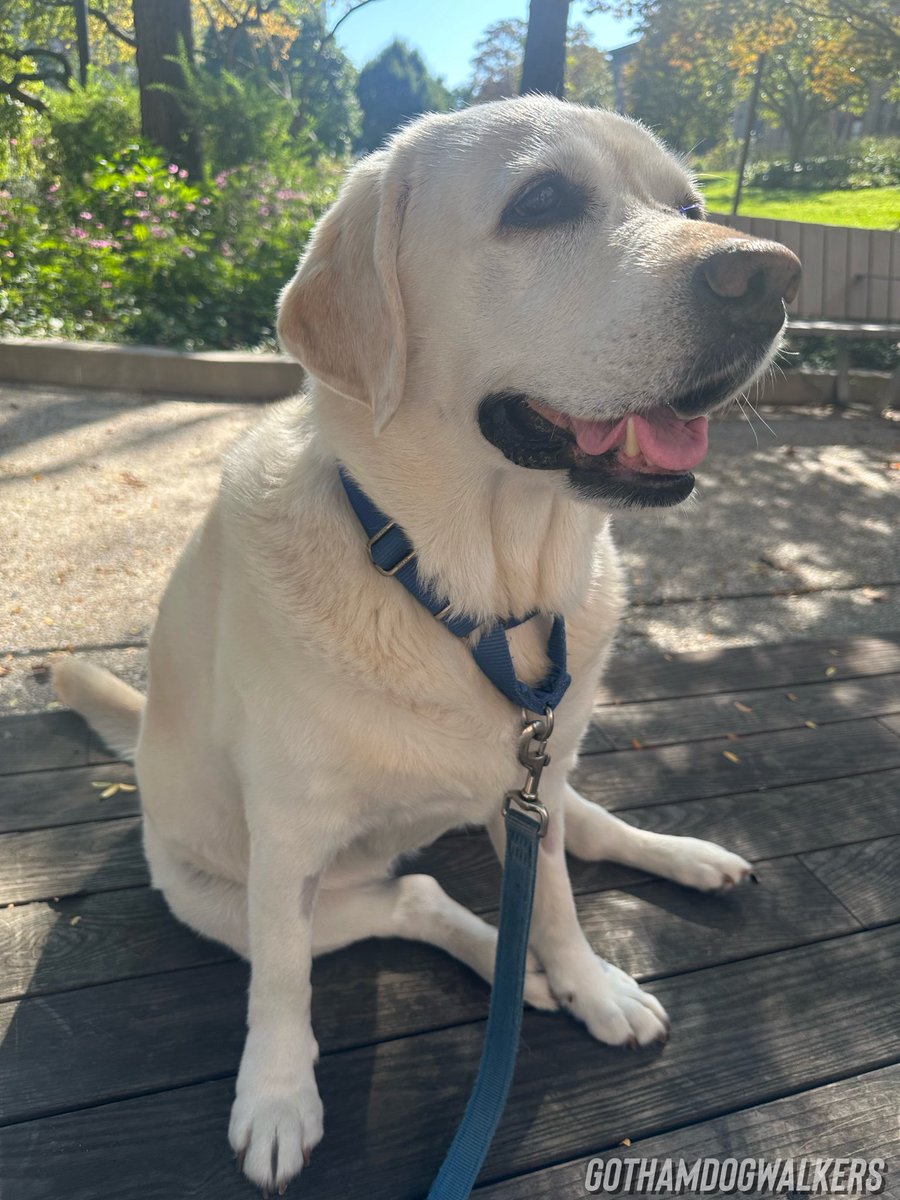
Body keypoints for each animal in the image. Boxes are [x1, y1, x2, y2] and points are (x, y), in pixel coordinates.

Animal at [54, 96, 801, 1190]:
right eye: (541, 200)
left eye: (692, 207)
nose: (773, 277)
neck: (480, 594)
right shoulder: (288, 839)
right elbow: (282, 988)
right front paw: (276, 1099)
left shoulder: (531, 779)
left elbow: (560, 902)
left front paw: (592, 985)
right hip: (217, 891)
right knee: (409, 897)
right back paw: (513, 972)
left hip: (538, 784)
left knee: (581, 833)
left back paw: (682, 866)